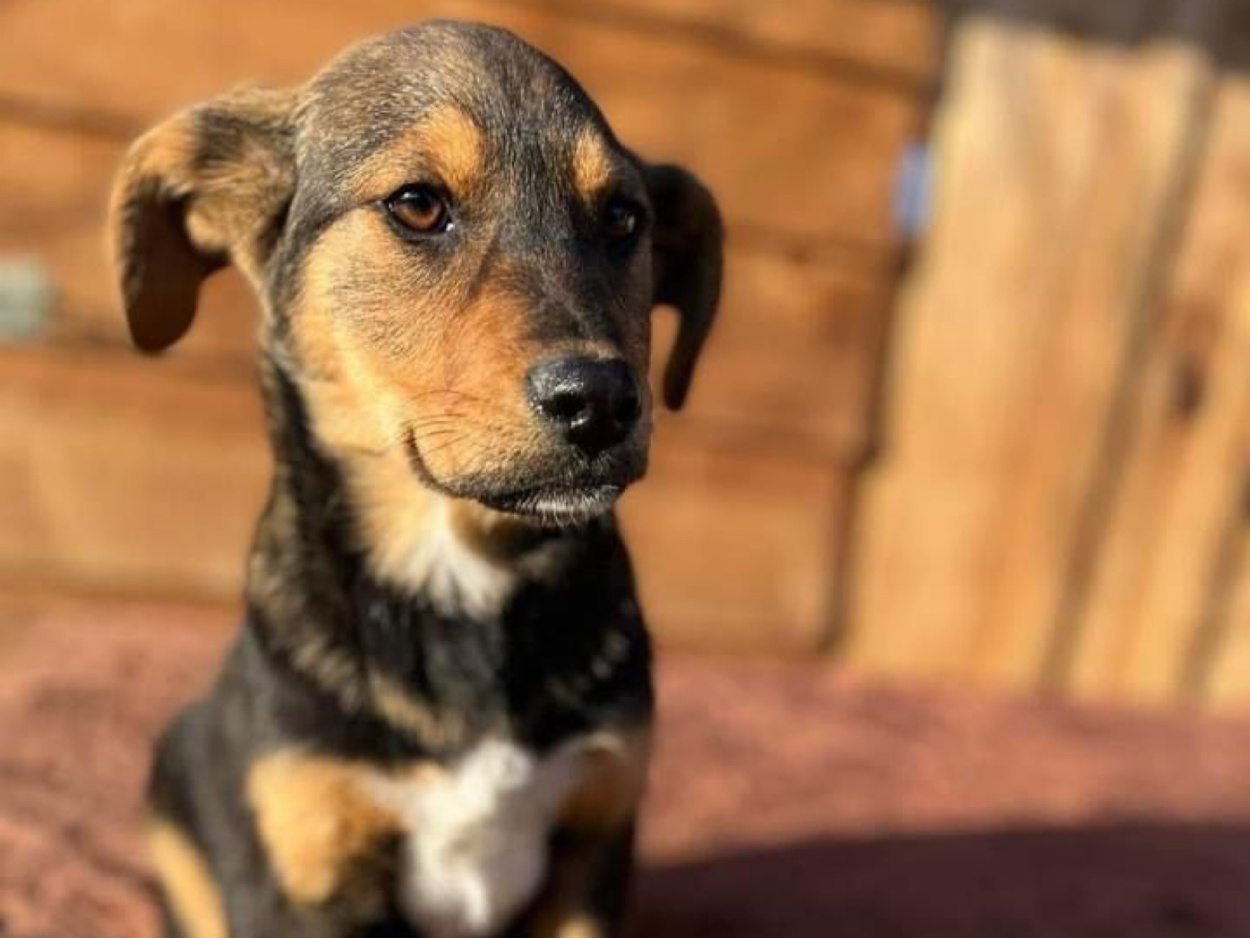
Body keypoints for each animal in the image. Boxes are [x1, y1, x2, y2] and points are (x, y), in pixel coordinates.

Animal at [108, 19, 722, 938]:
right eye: (418, 204)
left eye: (623, 219)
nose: (604, 402)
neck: (458, 568)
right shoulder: (309, 870)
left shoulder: (592, 850)